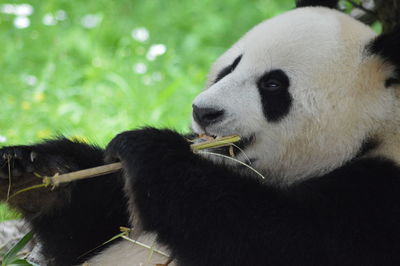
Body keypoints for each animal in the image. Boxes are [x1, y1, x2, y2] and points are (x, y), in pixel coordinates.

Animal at [0, 0, 400, 264]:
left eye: (273, 85)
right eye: (230, 67)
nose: (203, 111)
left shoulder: (374, 204)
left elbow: (269, 238)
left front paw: (147, 147)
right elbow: (90, 229)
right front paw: (35, 172)